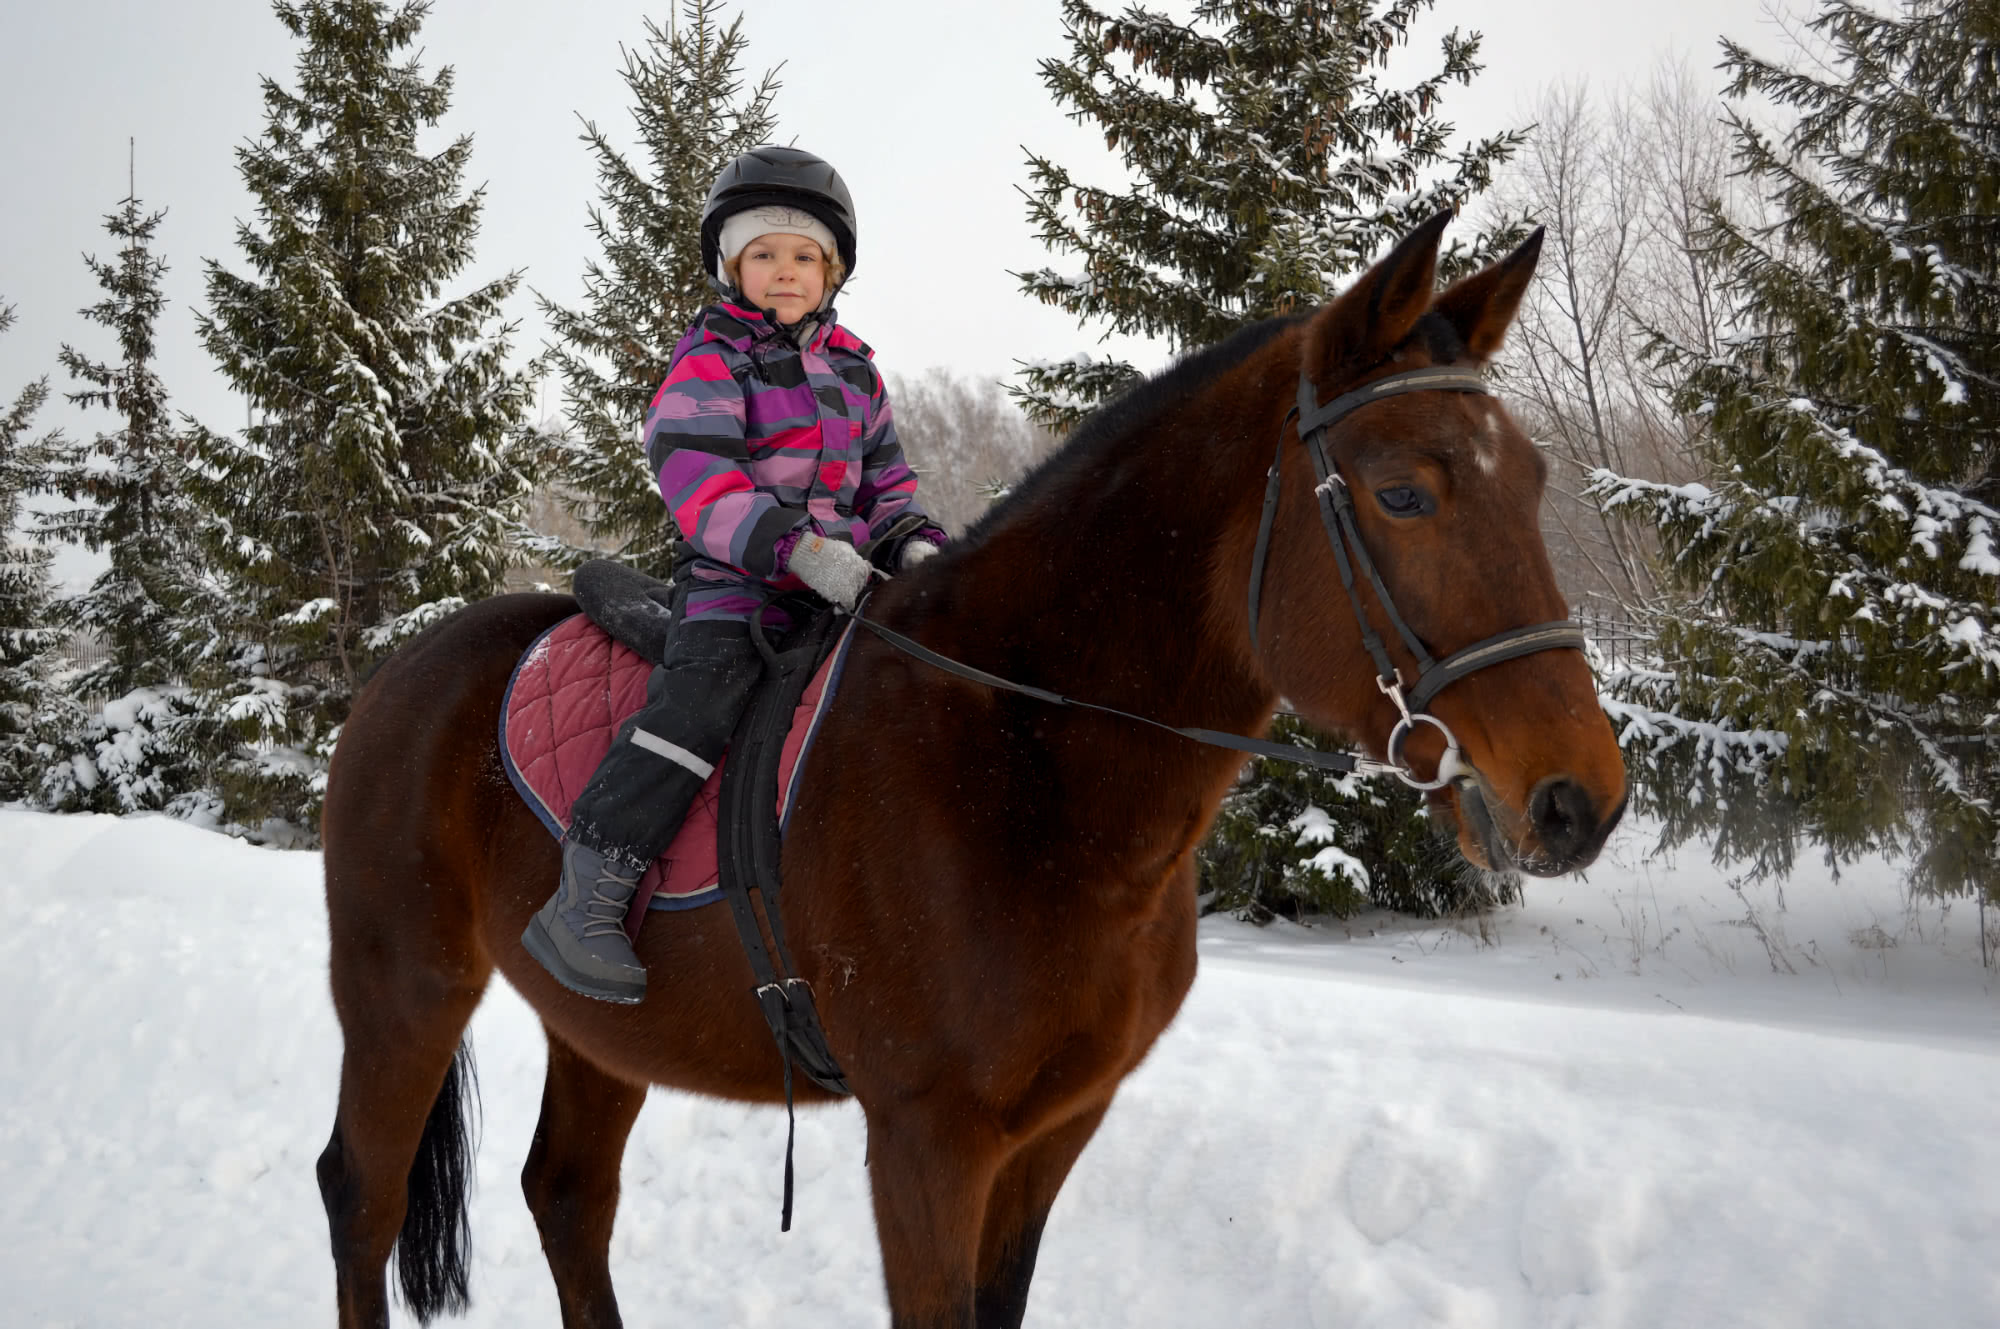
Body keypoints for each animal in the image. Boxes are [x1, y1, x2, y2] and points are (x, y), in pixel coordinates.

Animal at [315, 211, 1628, 1329]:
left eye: (1533, 481)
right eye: (1401, 492)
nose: (1581, 800)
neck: (1025, 770)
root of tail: (400, 669)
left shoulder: (1050, 1133)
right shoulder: (925, 1142)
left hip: (598, 1033)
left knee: (567, 1198)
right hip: (405, 988)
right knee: (361, 1197)